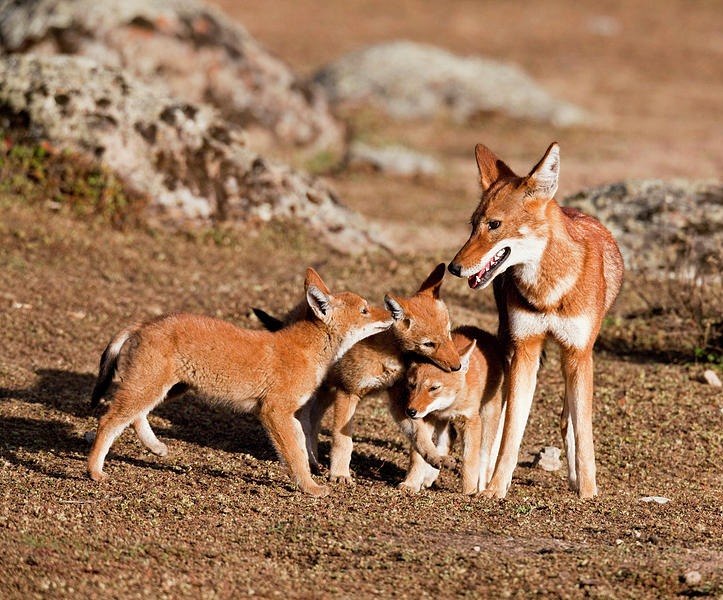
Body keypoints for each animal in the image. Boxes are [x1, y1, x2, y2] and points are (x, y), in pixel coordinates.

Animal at [446, 143, 624, 500]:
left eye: (494, 224)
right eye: (472, 225)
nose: (454, 268)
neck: (548, 291)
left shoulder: (579, 354)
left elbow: (583, 433)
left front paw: (588, 491)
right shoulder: (525, 350)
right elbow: (511, 433)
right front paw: (495, 488)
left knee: (567, 420)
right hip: (511, 348)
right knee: (499, 420)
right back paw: (484, 477)